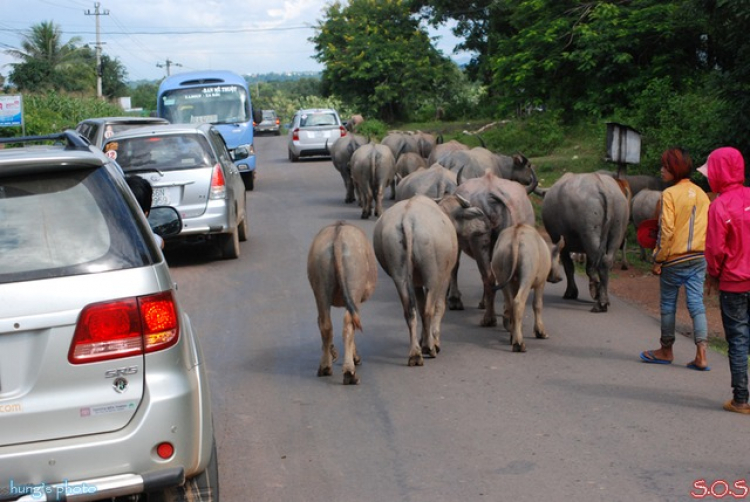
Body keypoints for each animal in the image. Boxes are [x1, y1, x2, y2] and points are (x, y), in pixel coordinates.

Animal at [306, 221, 378, 384]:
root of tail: (338, 234)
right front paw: (355, 357)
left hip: (321, 285)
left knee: (325, 324)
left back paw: (325, 367)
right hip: (354, 283)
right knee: (349, 323)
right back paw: (350, 373)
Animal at [374, 195, 458, 364]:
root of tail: (407, 219)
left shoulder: (417, 283)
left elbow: (419, 305)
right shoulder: (444, 277)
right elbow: (439, 306)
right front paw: (434, 341)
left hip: (398, 273)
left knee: (410, 310)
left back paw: (415, 353)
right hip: (432, 275)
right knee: (428, 310)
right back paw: (429, 348)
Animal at [438, 173, 536, 328]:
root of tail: (491, 194)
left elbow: (455, 266)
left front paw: (454, 300)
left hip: (479, 243)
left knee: (488, 278)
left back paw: (489, 319)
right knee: (502, 278)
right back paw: (507, 318)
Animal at [494, 224, 564, 352]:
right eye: (558, 259)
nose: (559, 277)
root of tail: (516, 238)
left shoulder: (514, 284)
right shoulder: (541, 282)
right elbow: (537, 305)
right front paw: (540, 332)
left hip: (501, 270)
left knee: (510, 304)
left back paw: (514, 337)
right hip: (528, 271)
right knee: (518, 302)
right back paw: (519, 343)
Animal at [544, 174, 632, 314]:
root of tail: (602, 186)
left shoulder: (561, 244)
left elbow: (569, 267)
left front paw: (572, 292)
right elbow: (589, 267)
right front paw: (595, 289)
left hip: (589, 232)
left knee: (600, 263)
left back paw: (600, 303)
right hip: (618, 227)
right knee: (607, 261)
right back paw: (603, 298)